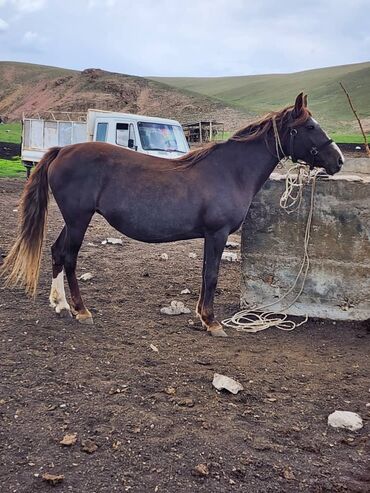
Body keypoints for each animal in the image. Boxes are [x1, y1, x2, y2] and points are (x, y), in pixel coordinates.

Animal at [1, 92, 344, 336]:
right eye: (310, 126)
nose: (338, 160)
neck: (230, 171)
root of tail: (63, 150)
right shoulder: (217, 234)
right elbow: (211, 275)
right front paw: (211, 322)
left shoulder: (210, 236)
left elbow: (206, 274)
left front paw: (202, 315)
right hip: (79, 219)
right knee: (69, 256)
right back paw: (82, 310)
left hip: (74, 220)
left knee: (57, 252)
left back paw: (59, 304)